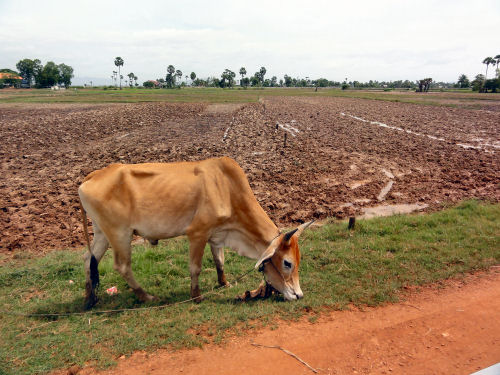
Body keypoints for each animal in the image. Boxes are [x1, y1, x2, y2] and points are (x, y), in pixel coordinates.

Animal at [78, 157, 312, 310]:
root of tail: (94, 175)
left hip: (102, 233)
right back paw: (146, 297)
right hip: (120, 234)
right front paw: (196, 296)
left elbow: (219, 261)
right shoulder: (198, 233)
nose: (299, 295)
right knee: (122, 266)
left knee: (89, 260)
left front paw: (224, 283)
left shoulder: (216, 235)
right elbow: (195, 268)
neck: (228, 188)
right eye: (287, 263)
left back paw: (89, 299)